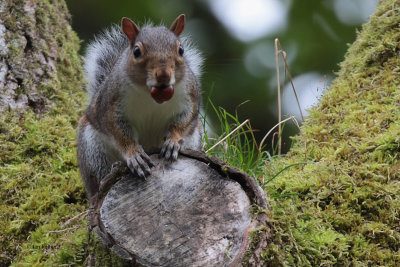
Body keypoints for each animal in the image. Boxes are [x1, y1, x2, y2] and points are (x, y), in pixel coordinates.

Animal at [77, 15, 205, 199]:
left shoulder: (190, 97)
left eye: (181, 50)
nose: (164, 75)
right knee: (99, 175)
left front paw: (173, 141)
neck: (151, 94)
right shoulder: (110, 106)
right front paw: (134, 154)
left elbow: (184, 121)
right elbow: (119, 132)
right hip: (92, 148)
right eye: (136, 51)